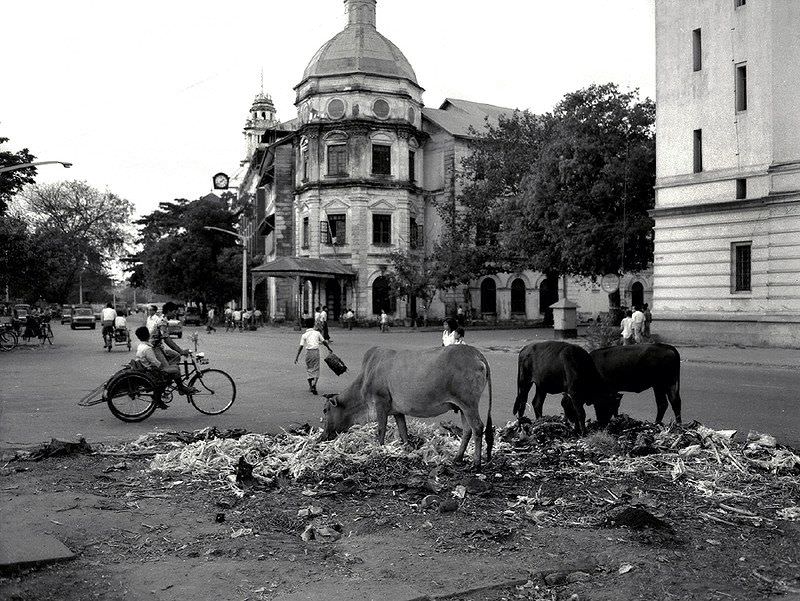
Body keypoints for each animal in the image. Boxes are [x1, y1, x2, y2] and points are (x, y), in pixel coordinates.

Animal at [318, 344, 494, 466]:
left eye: (325, 410)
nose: (322, 437)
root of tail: (476, 354)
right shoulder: (397, 411)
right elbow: (403, 431)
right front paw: (407, 450)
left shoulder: (380, 403)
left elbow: (381, 430)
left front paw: (378, 450)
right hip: (463, 407)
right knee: (467, 430)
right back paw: (458, 458)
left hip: (469, 404)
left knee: (478, 427)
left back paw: (476, 463)